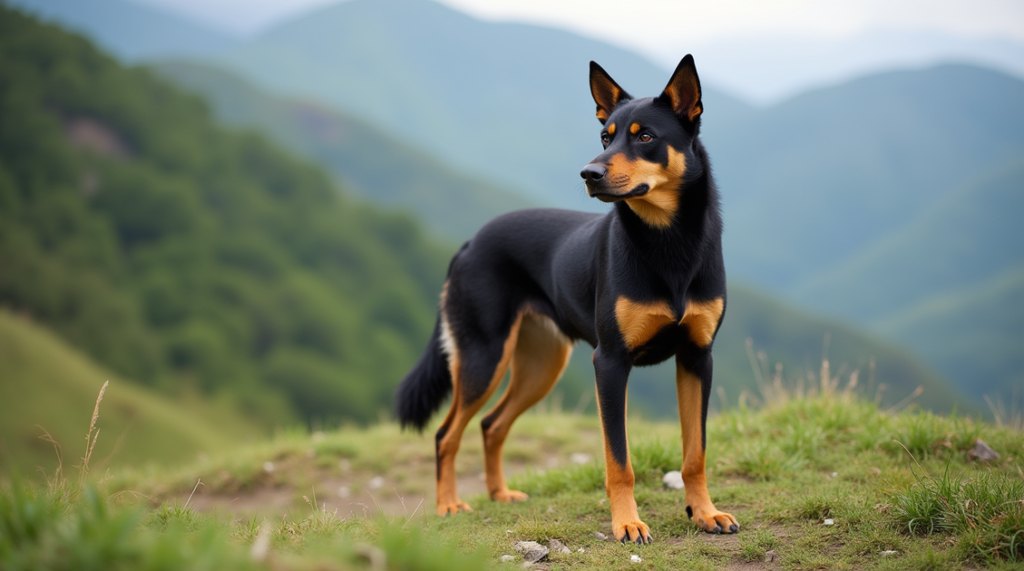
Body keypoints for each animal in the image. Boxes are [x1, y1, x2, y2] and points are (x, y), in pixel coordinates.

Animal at [395, 56, 741, 544]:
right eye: (605, 137)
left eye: (646, 137)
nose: (589, 173)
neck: (667, 243)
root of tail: (469, 243)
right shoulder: (610, 363)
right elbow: (620, 461)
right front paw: (627, 523)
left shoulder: (697, 357)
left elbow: (696, 453)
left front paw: (705, 512)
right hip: (485, 357)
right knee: (447, 433)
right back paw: (448, 504)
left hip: (541, 363)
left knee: (490, 424)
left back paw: (499, 494)